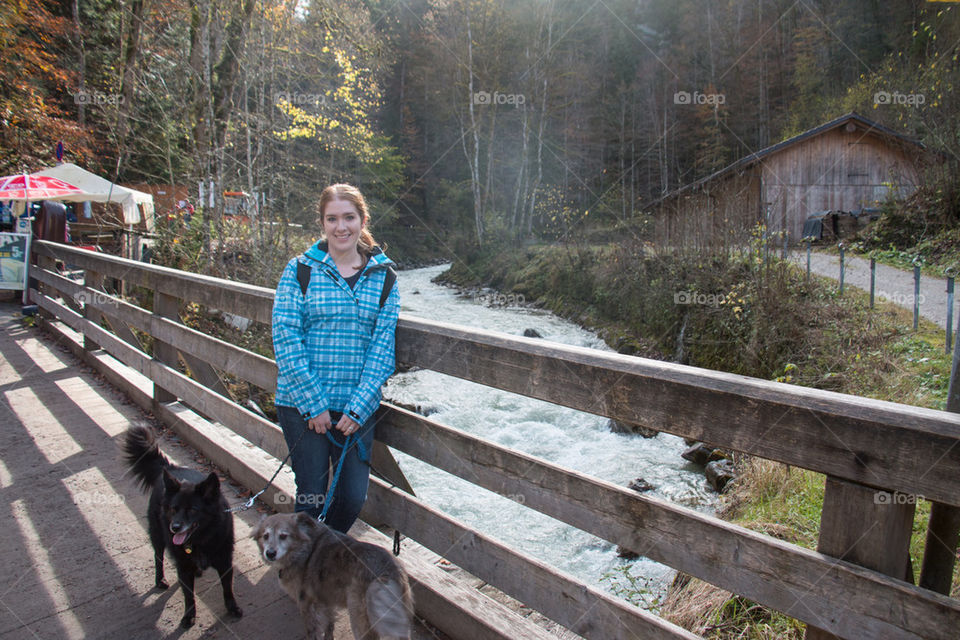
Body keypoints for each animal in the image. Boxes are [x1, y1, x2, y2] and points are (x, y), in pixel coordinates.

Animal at [121, 428, 244, 628]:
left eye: (193, 509)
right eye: (174, 509)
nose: (175, 527)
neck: (200, 540)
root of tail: (172, 468)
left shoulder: (225, 561)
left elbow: (227, 588)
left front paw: (232, 608)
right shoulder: (183, 566)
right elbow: (188, 595)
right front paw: (189, 616)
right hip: (157, 535)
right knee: (158, 557)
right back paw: (160, 579)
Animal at [253, 512, 410, 636]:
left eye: (284, 536)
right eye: (265, 536)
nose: (270, 553)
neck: (303, 549)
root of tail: (389, 569)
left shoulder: (305, 602)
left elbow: (312, 631)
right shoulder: (325, 598)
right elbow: (329, 625)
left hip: (358, 617)